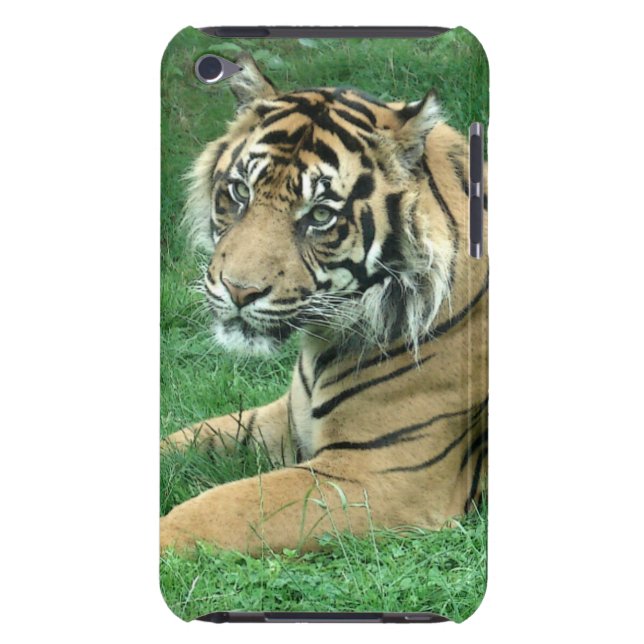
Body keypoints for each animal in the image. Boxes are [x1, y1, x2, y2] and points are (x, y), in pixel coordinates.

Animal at [160, 52, 488, 555]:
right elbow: (180, 439)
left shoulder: (375, 474)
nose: (238, 290)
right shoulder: (281, 421)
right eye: (240, 192)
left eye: (319, 216)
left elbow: (220, 509)